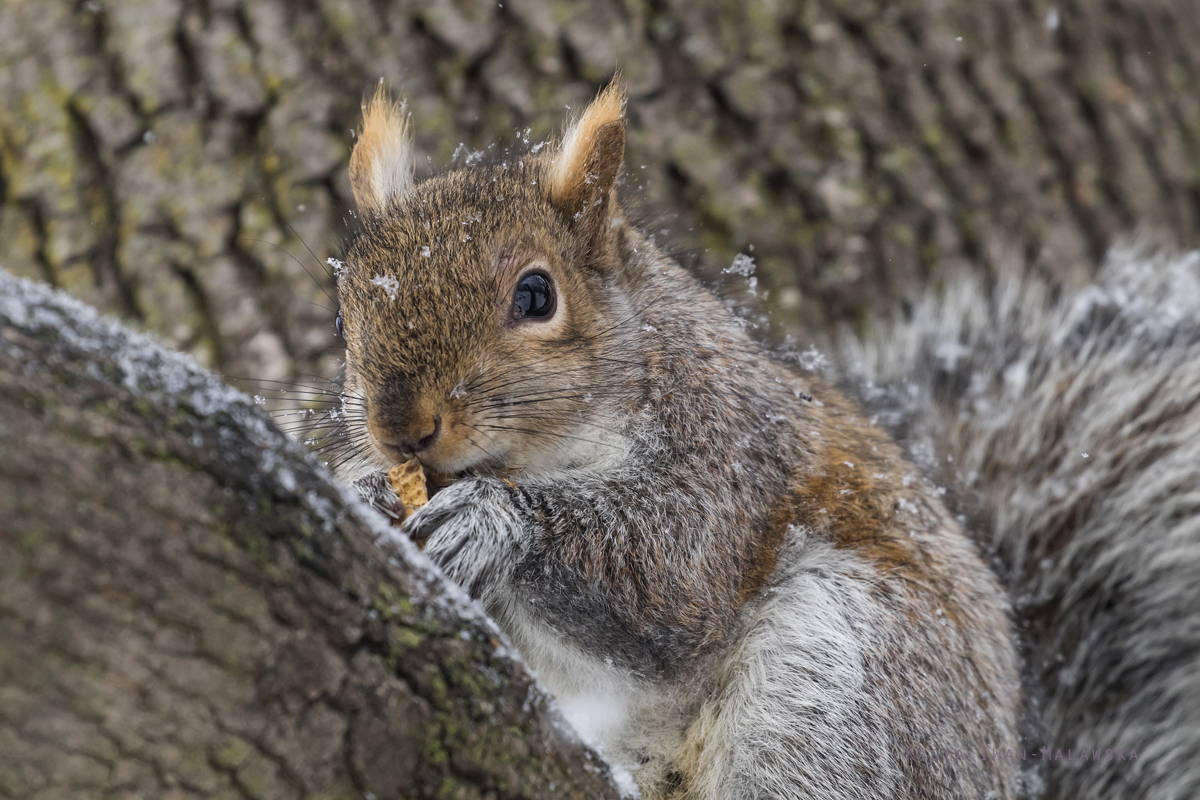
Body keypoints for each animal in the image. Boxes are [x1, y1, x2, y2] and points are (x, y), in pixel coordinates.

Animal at [328, 82, 1200, 800]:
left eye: (537, 295)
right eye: (345, 310)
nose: (401, 429)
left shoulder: (731, 457)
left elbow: (669, 585)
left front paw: (493, 520)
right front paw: (363, 489)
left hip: (840, 682)